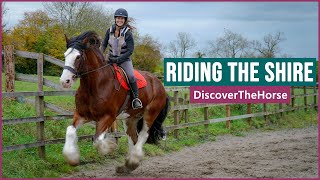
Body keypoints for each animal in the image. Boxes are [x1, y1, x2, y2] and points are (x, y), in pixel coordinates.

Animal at [60, 31, 170, 173]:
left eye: (78, 57)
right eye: (65, 55)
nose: (65, 81)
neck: (96, 85)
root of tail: (159, 84)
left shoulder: (108, 117)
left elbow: (97, 140)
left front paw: (111, 147)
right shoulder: (82, 115)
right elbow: (70, 131)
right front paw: (72, 158)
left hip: (150, 113)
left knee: (143, 135)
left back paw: (133, 160)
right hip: (130, 118)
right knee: (133, 138)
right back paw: (129, 165)